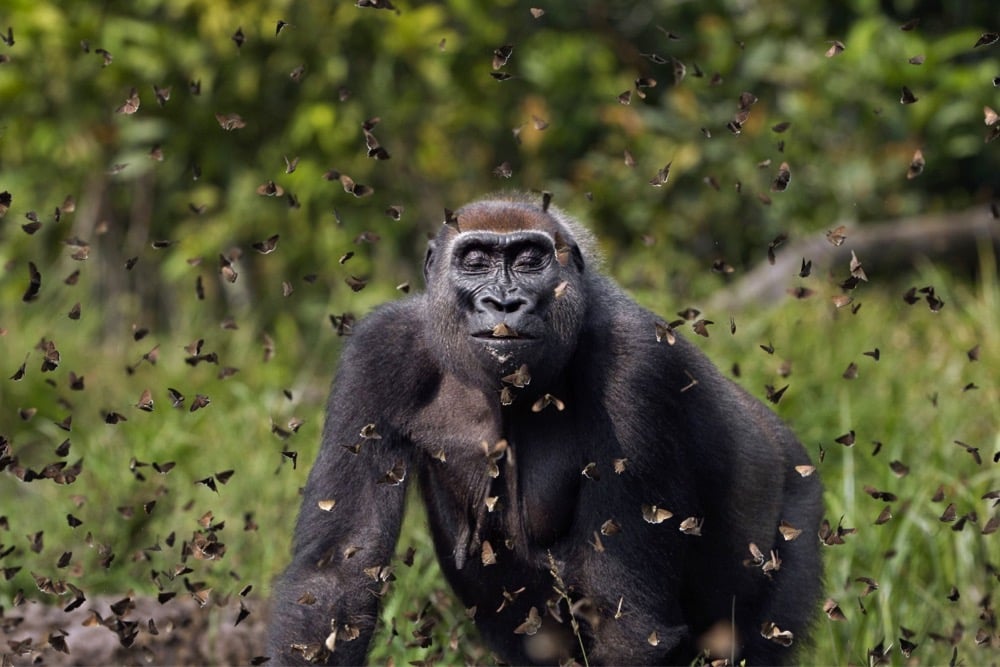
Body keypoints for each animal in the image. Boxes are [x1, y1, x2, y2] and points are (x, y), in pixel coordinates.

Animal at [266, 190, 820, 664]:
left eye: (530, 259)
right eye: (476, 260)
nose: (504, 303)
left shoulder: (637, 364)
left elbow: (630, 624)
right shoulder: (379, 351)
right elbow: (336, 578)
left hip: (798, 507)